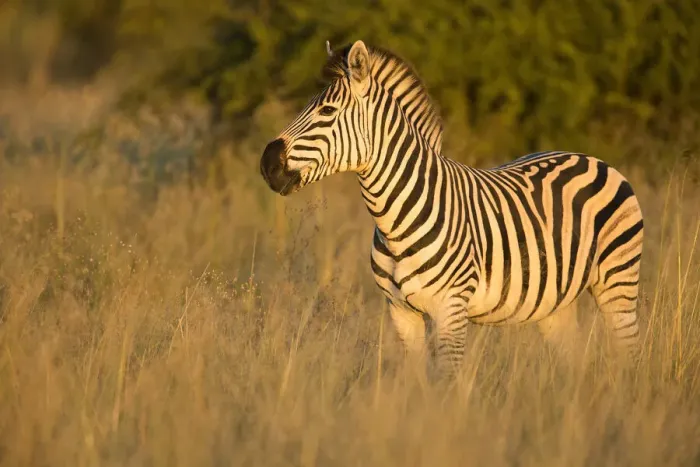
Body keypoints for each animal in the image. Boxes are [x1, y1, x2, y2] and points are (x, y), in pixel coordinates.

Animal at [260, 40, 644, 376]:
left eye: (327, 111)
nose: (267, 163)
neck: (394, 221)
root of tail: (590, 157)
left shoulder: (451, 311)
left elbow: (448, 382)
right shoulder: (401, 313)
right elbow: (415, 382)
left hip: (618, 283)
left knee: (628, 353)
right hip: (554, 303)